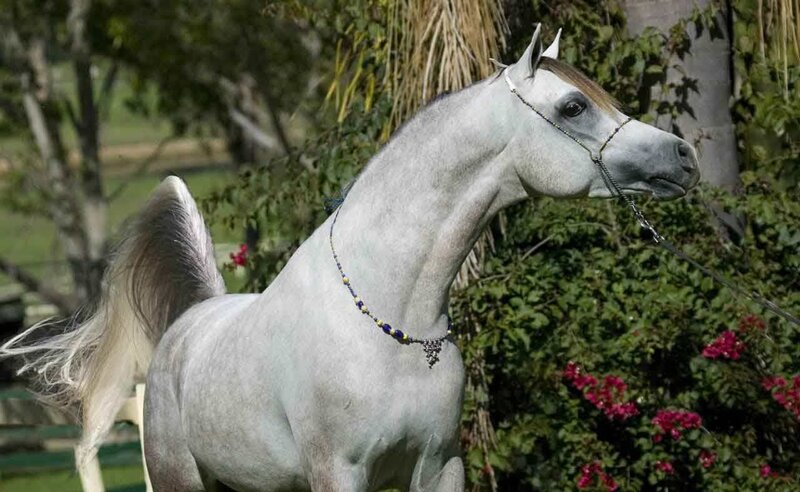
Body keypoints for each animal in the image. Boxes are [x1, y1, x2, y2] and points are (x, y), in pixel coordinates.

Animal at [1, 25, 699, 491]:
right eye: (573, 106)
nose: (683, 157)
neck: (393, 327)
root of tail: (187, 326)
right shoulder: (339, 473)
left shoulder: (439, 467)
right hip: (182, 483)